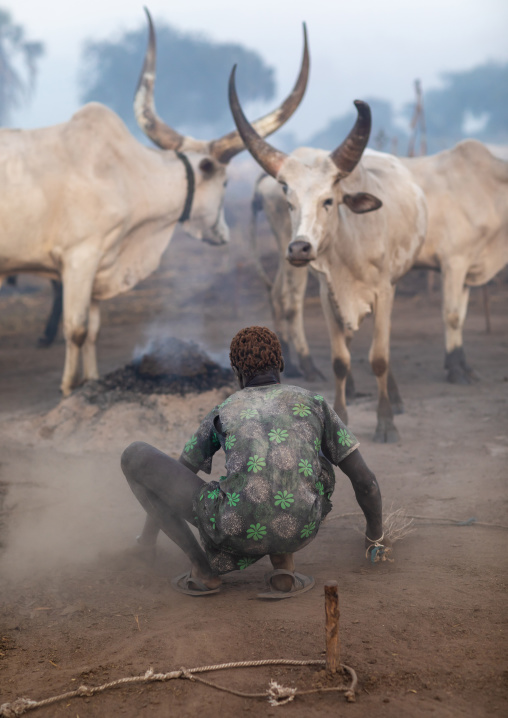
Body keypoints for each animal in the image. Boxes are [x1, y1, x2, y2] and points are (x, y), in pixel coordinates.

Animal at [0, 11, 309, 396]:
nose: (223, 234)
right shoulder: (79, 259)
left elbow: (93, 332)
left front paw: (90, 380)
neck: (125, 173)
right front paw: (69, 387)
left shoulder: (100, 265)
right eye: (224, 182)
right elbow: (77, 329)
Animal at [229, 67, 428, 442]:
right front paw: (341, 413)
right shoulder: (327, 293)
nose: (299, 248)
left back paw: (394, 398)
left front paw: (385, 421)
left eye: (329, 200)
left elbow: (379, 357)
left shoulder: (384, 291)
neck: (351, 250)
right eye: (289, 201)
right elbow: (340, 360)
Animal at [250, 141, 508, 387]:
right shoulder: (454, 262)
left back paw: (291, 365)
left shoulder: (467, 270)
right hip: (295, 254)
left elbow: (461, 316)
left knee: (276, 295)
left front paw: (465, 367)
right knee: (291, 302)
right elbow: (452, 315)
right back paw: (309, 366)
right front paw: (455, 369)